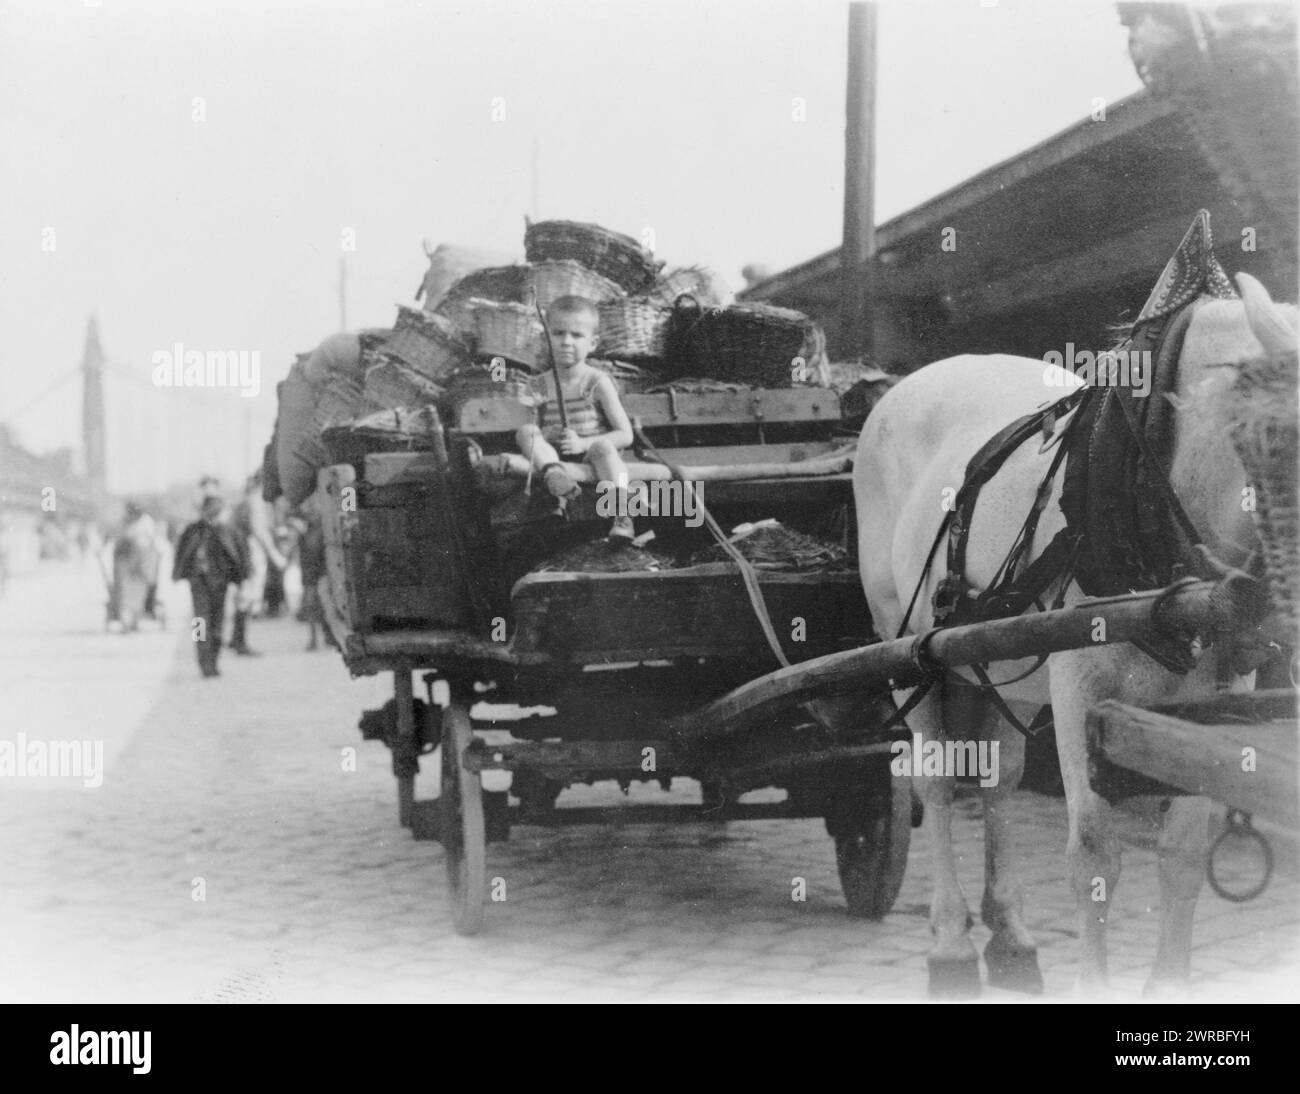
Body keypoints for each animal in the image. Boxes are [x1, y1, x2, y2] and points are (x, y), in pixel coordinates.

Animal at [857, 268, 1294, 992]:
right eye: (1274, 442)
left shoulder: (1215, 692)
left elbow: (1183, 853)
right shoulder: (1078, 682)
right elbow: (1093, 855)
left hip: (1003, 660)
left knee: (998, 778)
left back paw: (1009, 934)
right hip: (905, 648)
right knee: (937, 782)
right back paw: (951, 945)